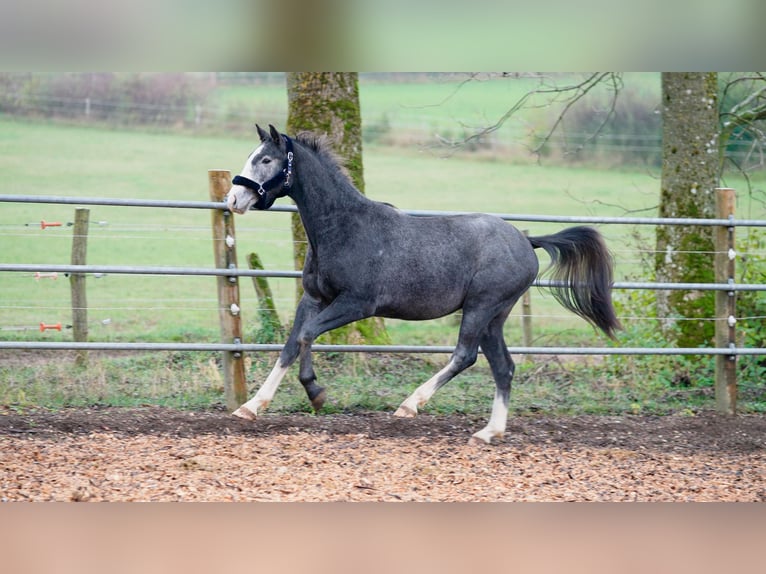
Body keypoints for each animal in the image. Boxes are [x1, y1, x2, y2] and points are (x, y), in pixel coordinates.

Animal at [225, 126, 620, 448]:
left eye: (266, 159)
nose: (233, 200)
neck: (344, 228)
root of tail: (528, 241)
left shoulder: (357, 304)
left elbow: (307, 335)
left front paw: (316, 392)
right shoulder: (314, 298)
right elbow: (291, 344)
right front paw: (251, 407)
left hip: (481, 307)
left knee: (466, 355)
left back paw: (410, 405)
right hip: (495, 316)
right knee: (503, 366)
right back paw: (489, 432)